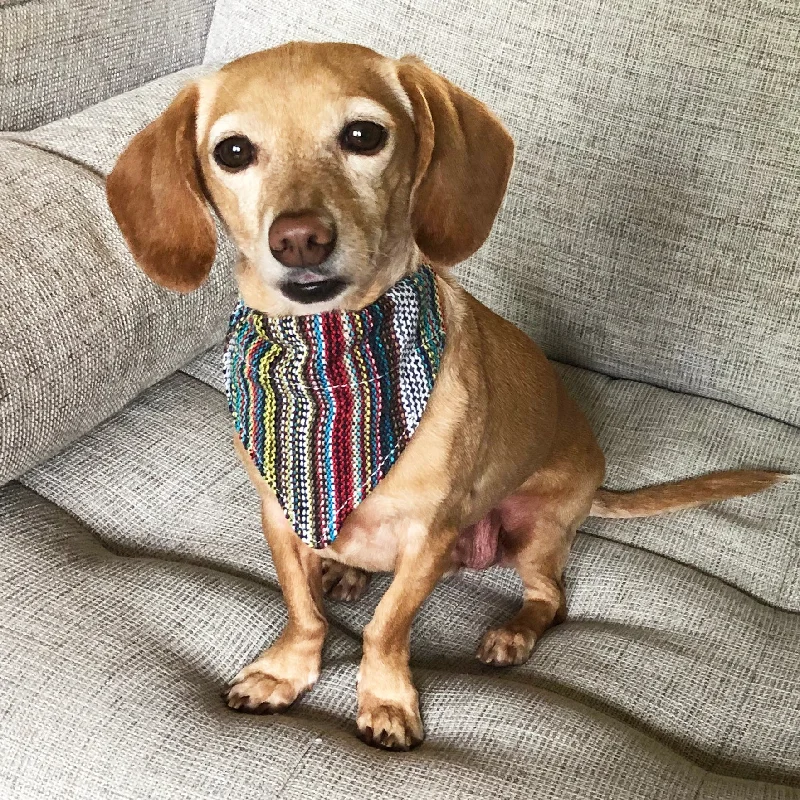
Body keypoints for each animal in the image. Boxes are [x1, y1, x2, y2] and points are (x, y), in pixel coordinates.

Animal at [104, 40, 780, 752]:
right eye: (233, 151)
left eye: (364, 136)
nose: (299, 239)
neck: (333, 358)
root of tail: (597, 483)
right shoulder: (278, 516)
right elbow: (304, 611)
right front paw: (286, 671)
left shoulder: (430, 536)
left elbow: (387, 627)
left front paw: (386, 699)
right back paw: (348, 568)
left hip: (535, 529)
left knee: (551, 597)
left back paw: (512, 632)